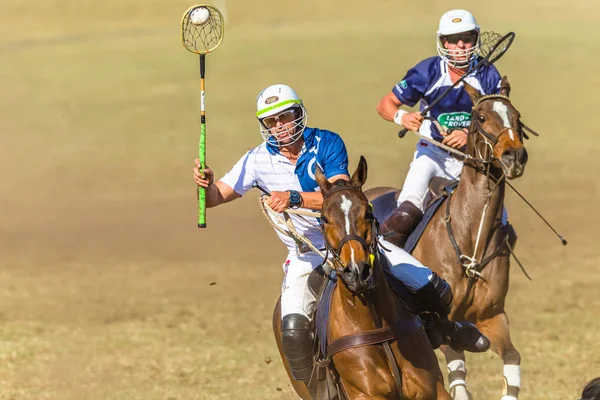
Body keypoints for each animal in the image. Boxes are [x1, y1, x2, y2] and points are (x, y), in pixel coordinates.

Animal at [272, 157, 450, 400]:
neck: (376, 324)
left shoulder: (434, 388)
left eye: (368, 212)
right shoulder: (364, 394)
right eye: (324, 219)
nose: (357, 271)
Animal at [366, 78, 528, 400]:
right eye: (481, 117)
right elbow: (457, 373)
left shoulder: (492, 315)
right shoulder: (445, 320)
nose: (514, 157)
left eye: (517, 116)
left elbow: (512, 359)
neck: (471, 238)